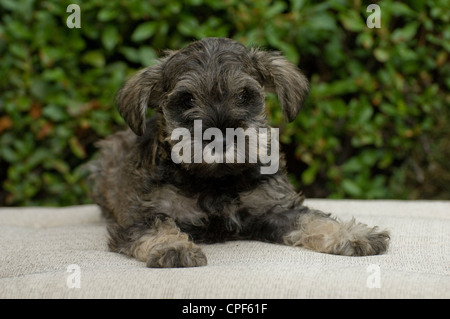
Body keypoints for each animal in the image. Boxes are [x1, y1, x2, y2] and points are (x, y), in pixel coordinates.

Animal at [87, 37, 386, 268]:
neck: (217, 179)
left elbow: (311, 219)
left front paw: (351, 234)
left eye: (244, 95)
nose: (220, 138)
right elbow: (159, 228)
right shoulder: (143, 215)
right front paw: (174, 247)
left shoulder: (276, 208)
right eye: (186, 99)